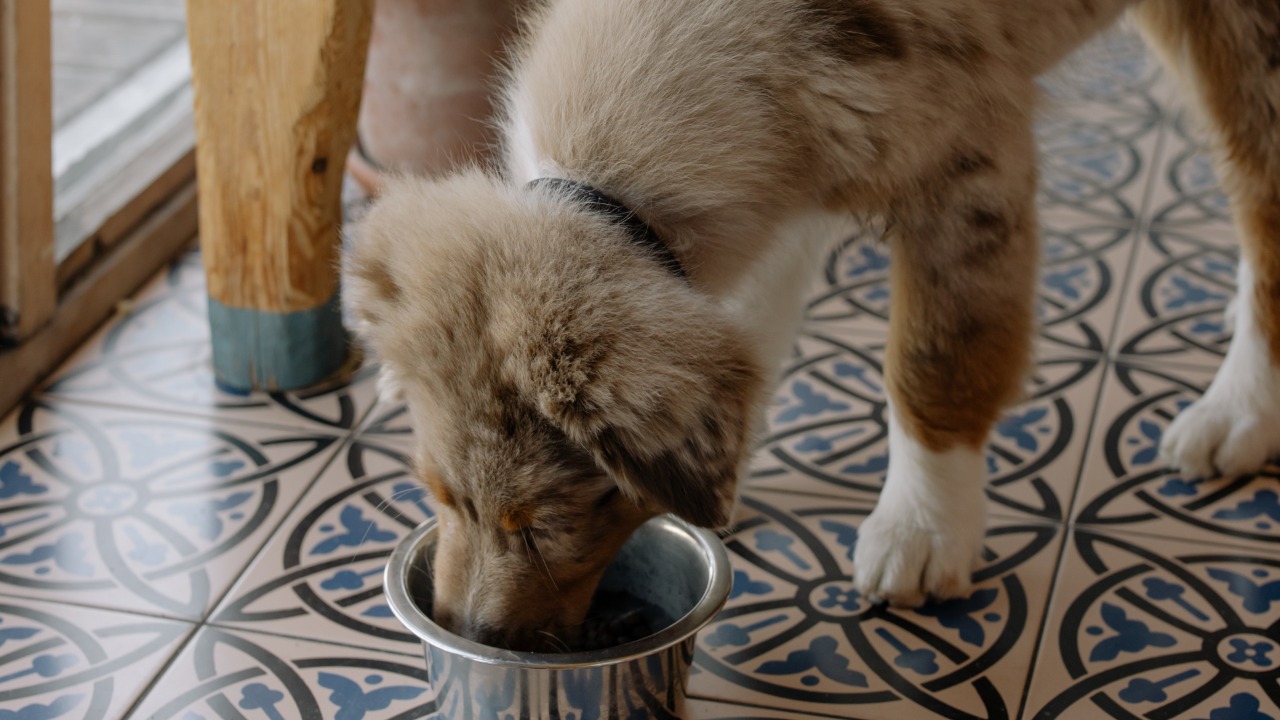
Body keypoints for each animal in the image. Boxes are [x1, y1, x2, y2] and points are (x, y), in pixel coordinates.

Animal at [345, 0, 1280, 650]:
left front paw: (923, 529)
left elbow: (934, 361)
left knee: (1260, 195)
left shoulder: (967, 165)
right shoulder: (789, 177)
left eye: (538, 525)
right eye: (436, 495)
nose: (468, 635)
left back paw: (1240, 407)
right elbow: (750, 327)